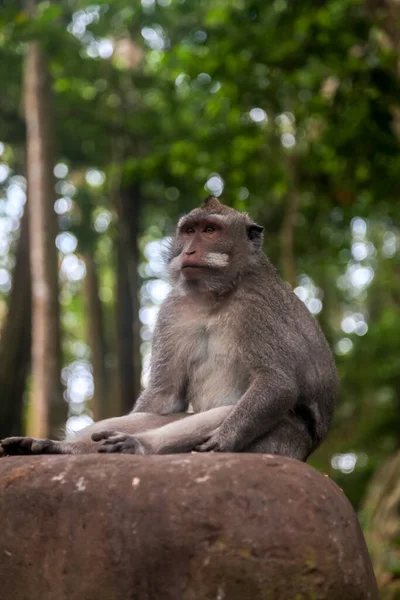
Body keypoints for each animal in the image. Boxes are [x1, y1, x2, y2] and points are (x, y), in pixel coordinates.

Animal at [0, 197, 340, 460]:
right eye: (189, 231)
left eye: (210, 230)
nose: (188, 251)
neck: (216, 296)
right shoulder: (172, 310)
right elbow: (163, 396)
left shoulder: (256, 308)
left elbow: (277, 382)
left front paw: (224, 439)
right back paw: (62, 448)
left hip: (283, 443)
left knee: (226, 413)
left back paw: (138, 446)